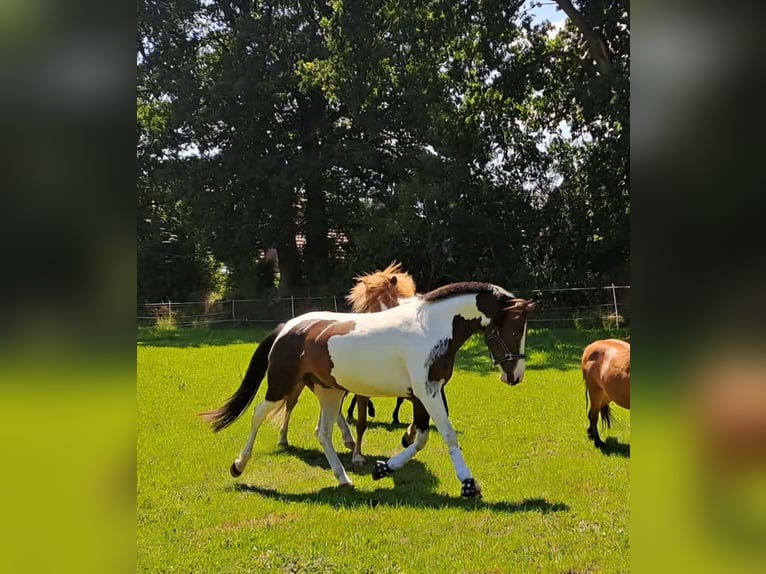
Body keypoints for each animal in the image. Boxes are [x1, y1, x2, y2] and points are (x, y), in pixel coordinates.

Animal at [199, 282, 536, 498]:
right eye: (514, 328)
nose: (515, 375)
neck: (430, 328)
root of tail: (288, 327)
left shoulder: (426, 393)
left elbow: (420, 438)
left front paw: (383, 468)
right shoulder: (426, 392)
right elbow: (447, 434)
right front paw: (468, 484)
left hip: (329, 392)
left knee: (323, 432)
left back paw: (343, 478)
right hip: (282, 386)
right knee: (258, 415)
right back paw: (238, 466)